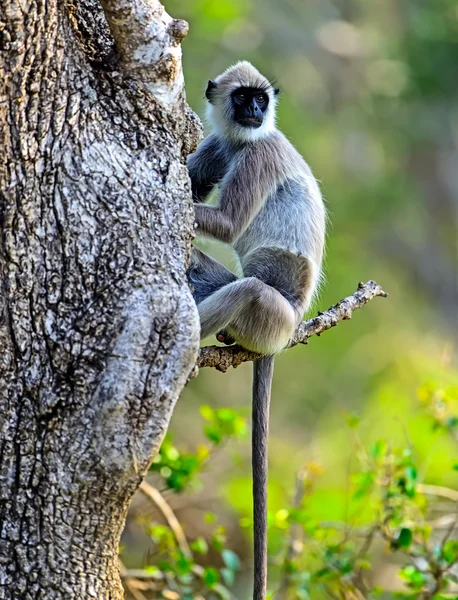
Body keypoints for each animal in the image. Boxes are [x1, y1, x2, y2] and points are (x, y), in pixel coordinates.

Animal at [186, 62, 326, 600]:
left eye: (261, 100)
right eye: (242, 98)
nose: (253, 111)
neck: (247, 138)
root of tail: (289, 333)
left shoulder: (258, 154)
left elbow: (227, 224)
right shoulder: (222, 143)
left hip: (270, 317)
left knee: (247, 288)